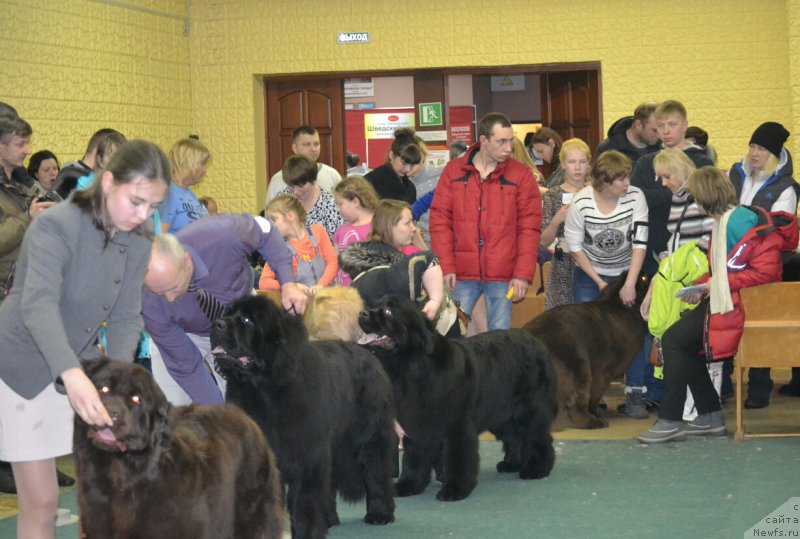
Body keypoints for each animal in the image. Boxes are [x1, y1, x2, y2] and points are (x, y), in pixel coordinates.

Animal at [209, 296, 396, 539]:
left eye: (248, 320)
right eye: (228, 314)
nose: (217, 324)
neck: (264, 389)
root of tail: (367, 354)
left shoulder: (307, 456)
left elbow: (305, 502)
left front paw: (307, 531)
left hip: (370, 434)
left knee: (377, 471)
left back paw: (380, 513)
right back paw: (330, 518)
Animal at [524, 274, 648, 430]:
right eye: (643, 278)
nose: (653, 275)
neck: (620, 308)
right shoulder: (602, 372)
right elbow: (594, 397)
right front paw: (596, 413)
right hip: (579, 367)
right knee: (577, 406)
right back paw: (593, 422)